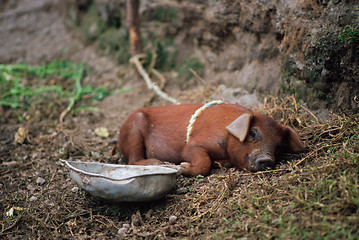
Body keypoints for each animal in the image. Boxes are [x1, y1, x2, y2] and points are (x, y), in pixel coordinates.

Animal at [112, 103, 306, 176]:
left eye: (278, 147)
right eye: (253, 133)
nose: (267, 159)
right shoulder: (194, 145)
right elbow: (201, 161)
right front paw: (181, 166)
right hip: (134, 129)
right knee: (133, 160)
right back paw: (160, 164)